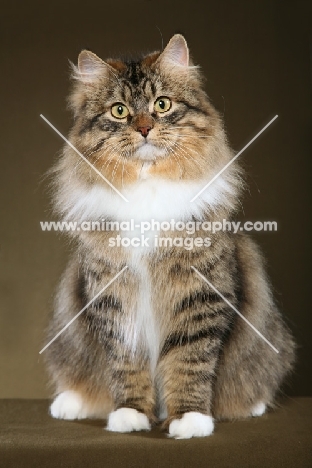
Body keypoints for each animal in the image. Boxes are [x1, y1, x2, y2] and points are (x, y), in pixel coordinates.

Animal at [44, 33, 294, 438]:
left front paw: (188, 419)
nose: (144, 128)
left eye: (162, 104)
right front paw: (131, 414)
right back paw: (70, 403)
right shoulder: (113, 297)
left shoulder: (200, 294)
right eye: (119, 111)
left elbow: (188, 363)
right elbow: (126, 364)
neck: (148, 189)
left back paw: (252, 405)